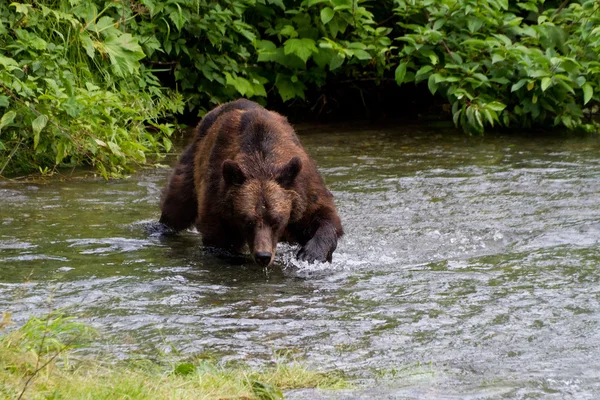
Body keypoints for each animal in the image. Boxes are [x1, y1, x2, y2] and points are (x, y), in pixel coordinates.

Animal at [158, 99, 342, 268]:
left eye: (276, 220)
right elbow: (219, 241)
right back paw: (161, 228)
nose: (263, 256)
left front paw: (311, 254)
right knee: (179, 202)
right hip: (194, 159)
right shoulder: (217, 199)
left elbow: (324, 216)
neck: (261, 161)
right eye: (248, 220)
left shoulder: (302, 188)